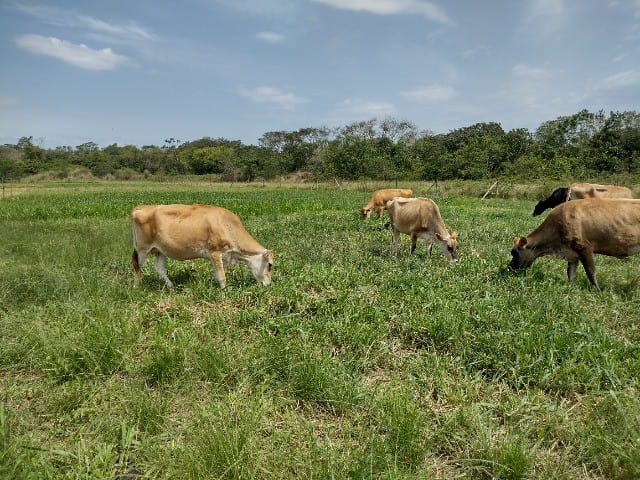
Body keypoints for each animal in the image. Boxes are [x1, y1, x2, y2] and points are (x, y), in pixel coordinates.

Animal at [131, 203, 274, 288]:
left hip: (160, 250)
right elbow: (222, 276)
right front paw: (224, 291)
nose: (268, 284)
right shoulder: (214, 252)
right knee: (136, 263)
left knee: (159, 268)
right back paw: (138, 285)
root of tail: (141, 207)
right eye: (270, 265)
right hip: (142, 247)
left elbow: (217, 273)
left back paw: (171, 286)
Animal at [512, 198, 640, 290]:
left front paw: (598, 291)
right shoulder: (572, 253)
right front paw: (570, 288)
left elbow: (590, 272)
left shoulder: (584, 247)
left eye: (514, 253)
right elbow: (570, 273)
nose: (510, 268)